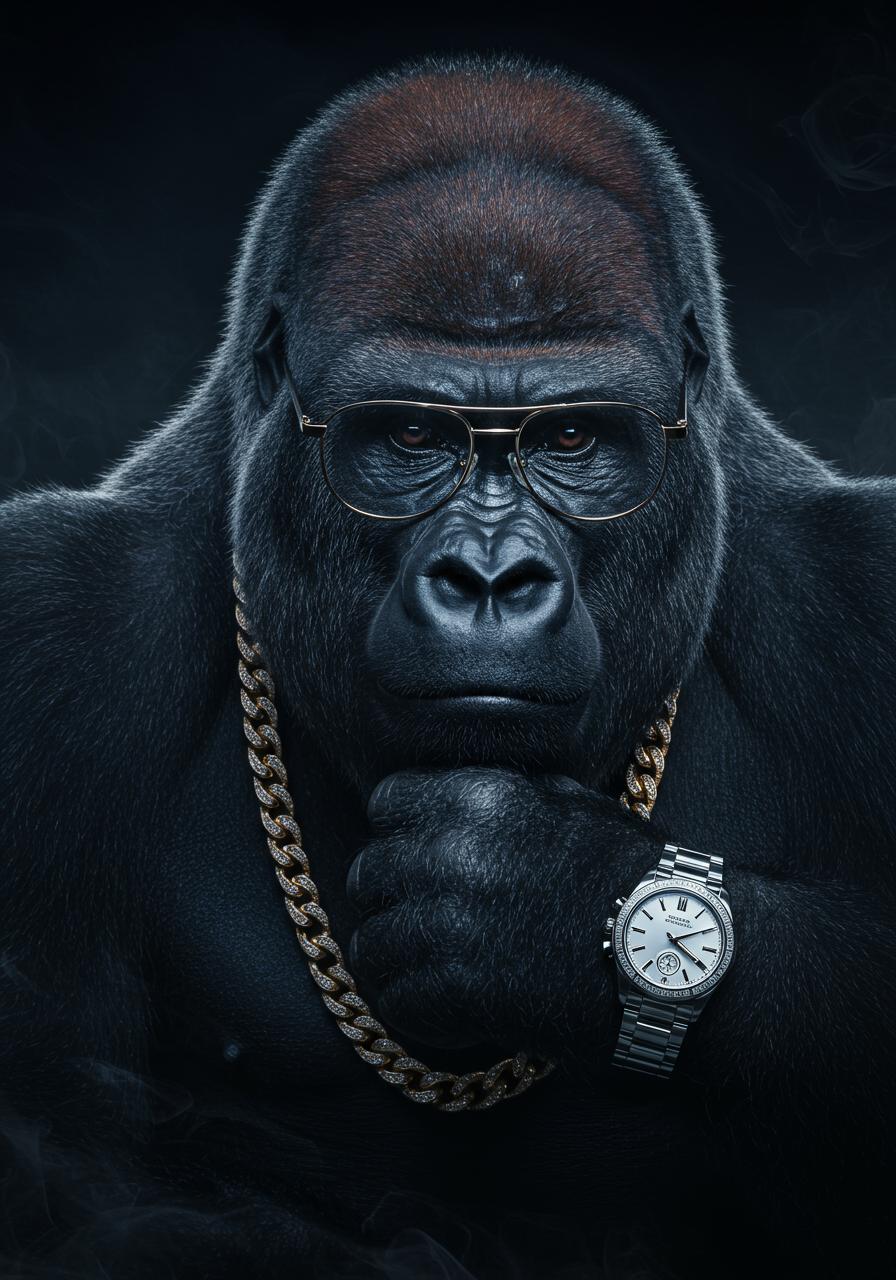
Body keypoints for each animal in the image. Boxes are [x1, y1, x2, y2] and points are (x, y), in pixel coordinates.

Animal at [1, 53, 893, 1280]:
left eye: (572, 439)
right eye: (413, 436)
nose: (488, 576)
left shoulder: (857, 605)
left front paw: (538, 896)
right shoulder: (51, 643)